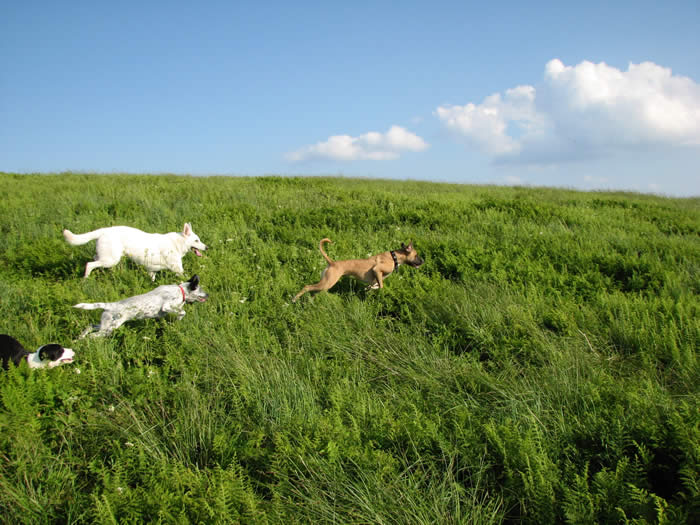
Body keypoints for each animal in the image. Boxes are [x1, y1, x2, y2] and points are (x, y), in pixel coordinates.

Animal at [63, 221, 206, 278]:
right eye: (197, 240)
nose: (207, 247)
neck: (178, 242)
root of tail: (104, 230)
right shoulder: (177, 269)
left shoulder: (151, 270)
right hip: (111, 259)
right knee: (89, 264)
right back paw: (85, 279)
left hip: (107, 257)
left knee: (94, 260)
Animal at [76, 272, 209, 338]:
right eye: (201, 289)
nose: (208, 294)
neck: (181, 291)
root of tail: (110, 305)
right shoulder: (167, 306)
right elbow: (182, 312)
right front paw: (179, 318)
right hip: (110, 327)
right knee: (93, 336)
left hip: (105, 324)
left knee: (89, 326)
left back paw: (79, 339)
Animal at [292, 235, 424, 300]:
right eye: (416, 255)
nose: (423, 261)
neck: (394, 257)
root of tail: (332, 263)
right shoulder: (377, 270)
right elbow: (380, 286)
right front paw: (372, 289)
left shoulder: (377, 277)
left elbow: (375, 285)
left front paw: (369, 289)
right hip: (327, 283)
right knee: (307, 287)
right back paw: (294, 299)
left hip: (325, 284)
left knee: (313, 292)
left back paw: (311, 301)